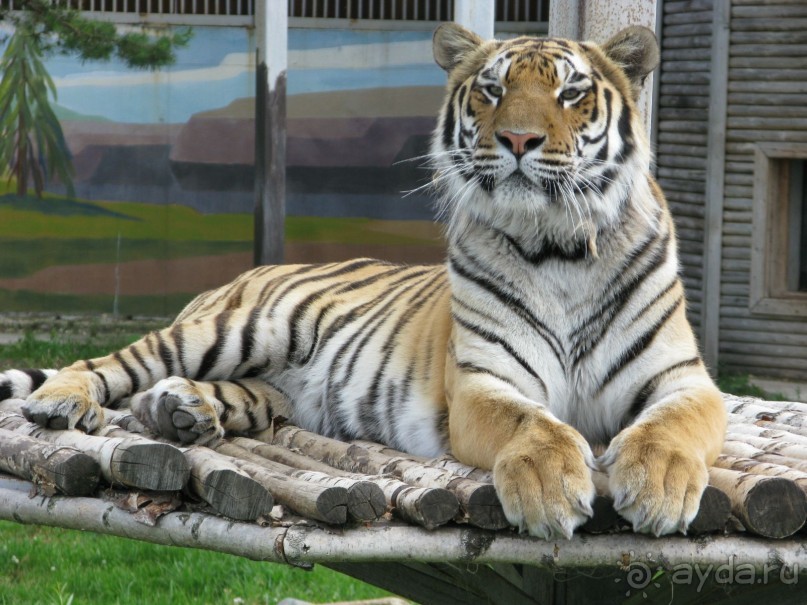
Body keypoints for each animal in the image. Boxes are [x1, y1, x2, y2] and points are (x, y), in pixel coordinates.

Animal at [3, 23, 728, 540]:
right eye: (492, 91)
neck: (560, 252)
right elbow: (535, 424)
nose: (518, 139)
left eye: (570, 92)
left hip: (274, 386)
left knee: (203, 395)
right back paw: (64, 402)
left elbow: (674, 424)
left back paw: (181, 410)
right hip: (239, 328)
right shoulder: (486, 382)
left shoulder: (683, 378)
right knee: (114, 362)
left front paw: (660, 486)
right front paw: (550, 490)